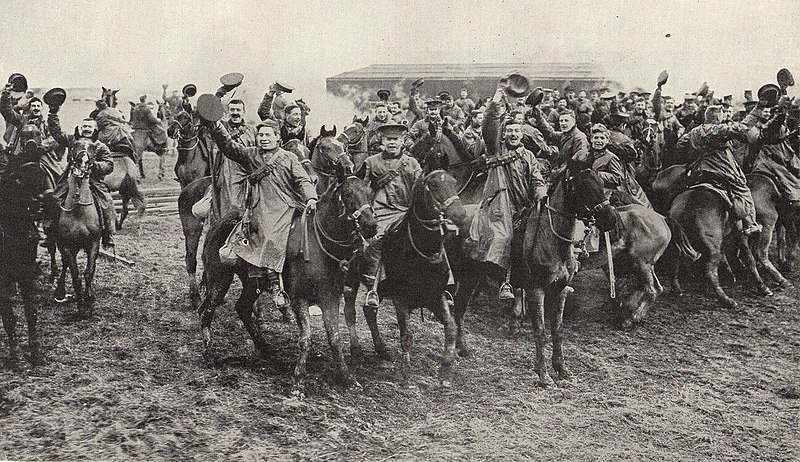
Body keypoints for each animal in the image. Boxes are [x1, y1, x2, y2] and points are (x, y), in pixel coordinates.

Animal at [53, 141, 104, 320]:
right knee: (65, 264)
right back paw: (60, 292)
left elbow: (88, 272)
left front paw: (89, 301)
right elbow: (75, 276)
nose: (82, 162)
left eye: (92, 147)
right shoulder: (67, 246)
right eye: (74, 144)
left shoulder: (94, 244)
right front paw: (81, 308)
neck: (78, 209)